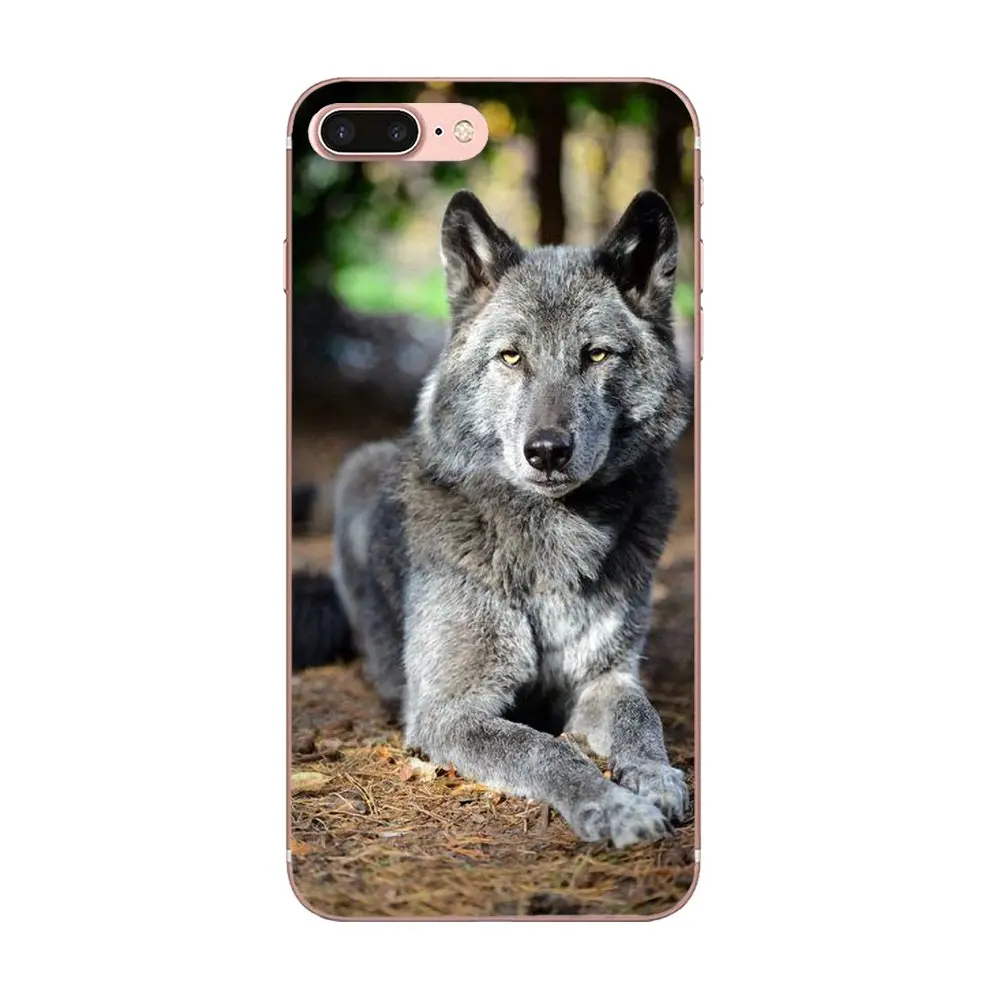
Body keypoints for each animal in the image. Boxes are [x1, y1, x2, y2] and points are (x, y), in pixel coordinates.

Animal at [294, 189, 693, 847]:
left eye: (596, 355)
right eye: (511, 356)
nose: (547, 450)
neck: (551, 542)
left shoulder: (607, 678)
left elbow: (643, 717)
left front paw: (656, 777)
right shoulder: (451, 712)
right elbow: (547, 751)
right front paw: (612, 805)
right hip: (357, 466)